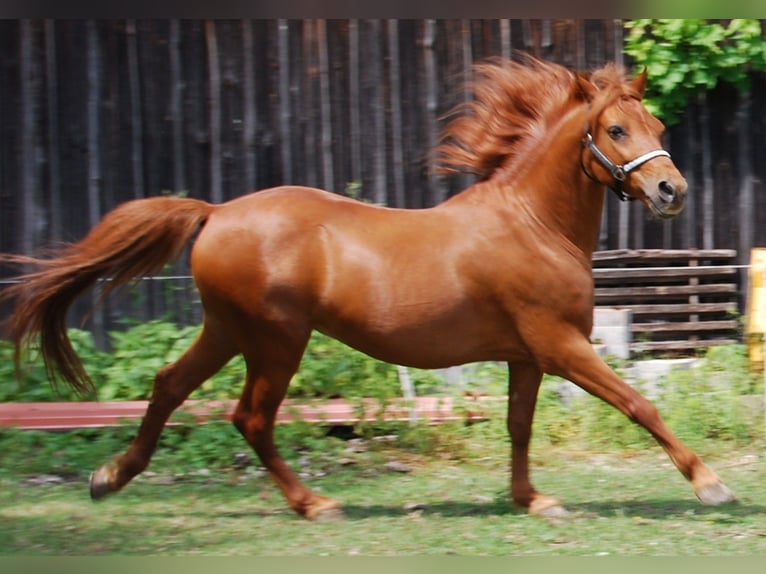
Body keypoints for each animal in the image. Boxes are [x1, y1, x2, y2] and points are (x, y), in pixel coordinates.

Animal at [0, 56, 736, 520]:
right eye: (615, 128)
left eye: (657, 128)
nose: (672, 191)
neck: (531, 224)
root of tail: (215, 212)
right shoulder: (559, 346)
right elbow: (639, 405)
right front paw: (710, 485)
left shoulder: (525, 356)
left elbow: (518, 426)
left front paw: (533, 500)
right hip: (276, 340)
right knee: (250, 418)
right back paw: (314, 504)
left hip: (228, 330)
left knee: (169, 386)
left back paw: (108, 478)